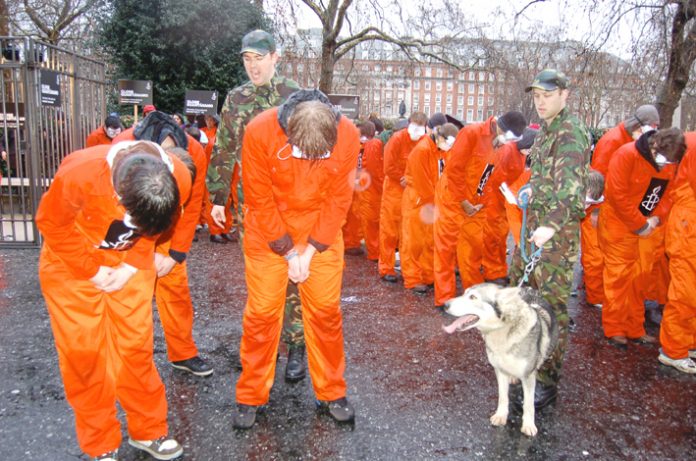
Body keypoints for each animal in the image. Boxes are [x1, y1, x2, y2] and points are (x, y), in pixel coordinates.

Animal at [444, 280, 556, 434]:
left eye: (473, 297)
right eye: (464, 293)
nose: (445, 305)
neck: (501, 331)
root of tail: (529, 289)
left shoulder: (528, 376)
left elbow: (528, 404)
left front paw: (528, 425)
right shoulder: (499, 370)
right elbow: (503, 397)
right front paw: (501, 415)